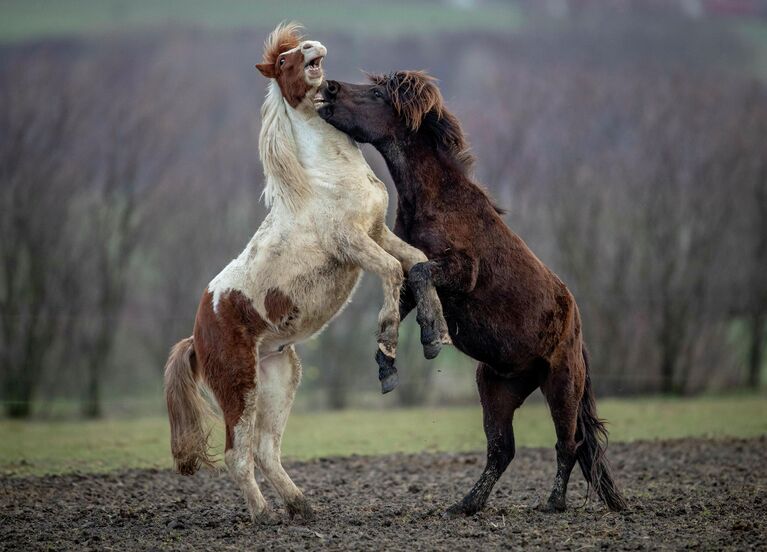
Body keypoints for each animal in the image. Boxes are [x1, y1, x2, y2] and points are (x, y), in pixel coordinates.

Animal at [164, 25, 450, 524]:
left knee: (265, 450)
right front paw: (387, 356)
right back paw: (264, 515)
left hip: (280, 376)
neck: (323, 179)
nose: (312, 49)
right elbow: (392, 272)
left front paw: (435, 334)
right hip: (240, 387)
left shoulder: (376, 230)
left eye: (298, 49)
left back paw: (302, 507)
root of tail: (197, 335)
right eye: (283, 63)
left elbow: (416, 262)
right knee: (238, 455)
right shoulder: (352, 243)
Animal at [318, 71, 632, 516]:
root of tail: (576, 326)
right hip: (496, 387)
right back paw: (465, 505)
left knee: (568, 443)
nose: (328, 88)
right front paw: (387, 366)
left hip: (561, 382)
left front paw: (432, 337)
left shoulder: (462, 272)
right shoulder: (410, 275)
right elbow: (400, 296)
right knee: (502, 449)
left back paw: (552, 503)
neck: (438, 203)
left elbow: (421, 276)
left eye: (377, 93)